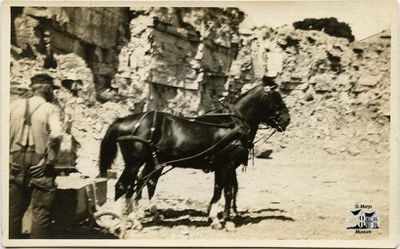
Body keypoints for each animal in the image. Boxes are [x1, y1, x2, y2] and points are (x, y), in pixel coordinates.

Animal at [98, 84, 290, 229]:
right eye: (276, 98)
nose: (287, 119)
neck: (235, 124)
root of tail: (124, 120)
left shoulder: (223, 167)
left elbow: (223, 190)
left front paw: (219, 216)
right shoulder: (226, 165)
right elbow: (225, 191)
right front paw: (222, 220)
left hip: (149, 162)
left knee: (138, 184)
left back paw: (138, 217)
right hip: (134, 163)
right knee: (123, 186)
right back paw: (119, 220)